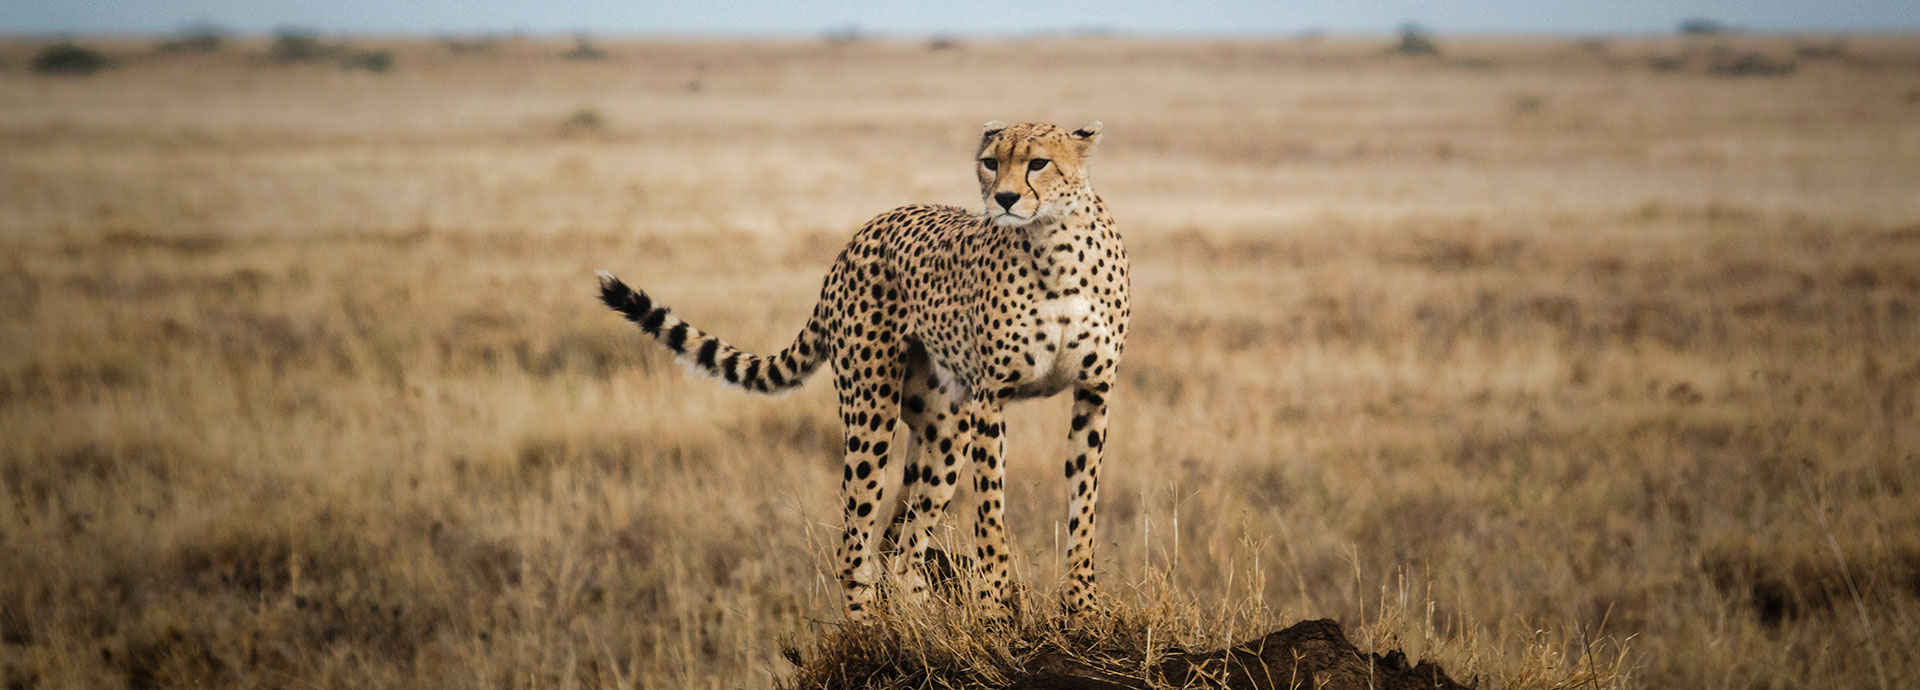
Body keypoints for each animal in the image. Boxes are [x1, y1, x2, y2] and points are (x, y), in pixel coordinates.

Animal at [594, 120, 1128, 622]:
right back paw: (869, 629)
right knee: (856, 541)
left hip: (944, 430)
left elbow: (1083, 506)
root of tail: (864, 230)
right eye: (990, 162)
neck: (1054, 247)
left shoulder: (1093, 392)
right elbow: (991, 514)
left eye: (1038, 163)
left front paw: (1082, 606)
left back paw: (920, 626)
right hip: (872, 408)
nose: (1005, 198)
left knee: (903, 545)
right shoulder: (992, 397)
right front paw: (995, 610)